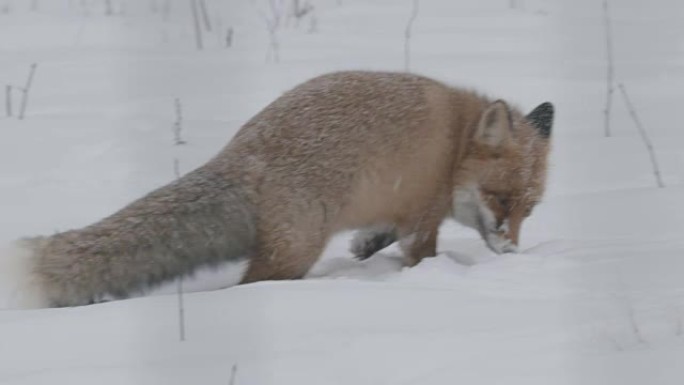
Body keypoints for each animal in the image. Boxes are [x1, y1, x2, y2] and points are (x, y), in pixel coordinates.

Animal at [0, 70, 552, 308]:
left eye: (528, 210)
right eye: (501, 200)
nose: (511, 251)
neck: (454, 144)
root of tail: (242, 152)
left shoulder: (399, 207)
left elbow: (378, 235)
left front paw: (366, 246)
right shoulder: (423, 213)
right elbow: (420, 253)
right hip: (294, 253)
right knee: (250, 286)